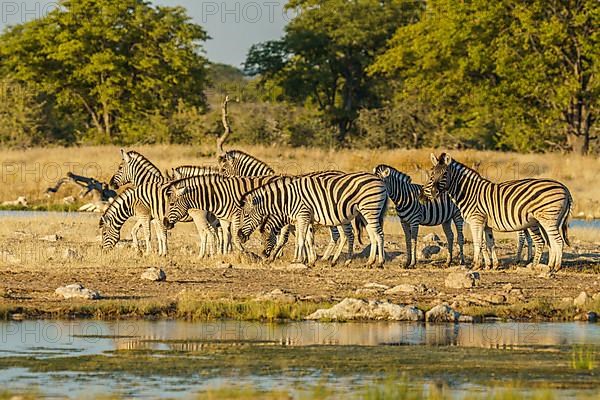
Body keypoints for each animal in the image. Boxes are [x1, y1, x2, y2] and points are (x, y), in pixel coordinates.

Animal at [237, 173, 386, 268]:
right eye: (261, 241)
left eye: (246, 215)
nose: (239, 235)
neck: (286, 200)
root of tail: (379, 179)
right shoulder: (301, 219)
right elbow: (306, 239)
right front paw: (308, 261)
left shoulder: (303, 216)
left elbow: (300, 239)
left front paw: (298, 260)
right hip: (364, 213)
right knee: (370, 235)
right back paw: (368, 262)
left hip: (370, 209)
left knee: (378, 234)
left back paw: (380, 262)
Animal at [422, 154, 572, 276]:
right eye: (432, 174)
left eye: (445, 174)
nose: (433, 192)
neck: (469, 193)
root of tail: (564, 187)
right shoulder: (486, 224)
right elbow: (489, 243)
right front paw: (491, 265)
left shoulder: (476, 220)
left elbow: (478, 242)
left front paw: (476, 265)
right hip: (550, 221)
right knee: (551, 241)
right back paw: (550, 266)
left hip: (548, 219)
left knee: (557, 241)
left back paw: (556, 267)